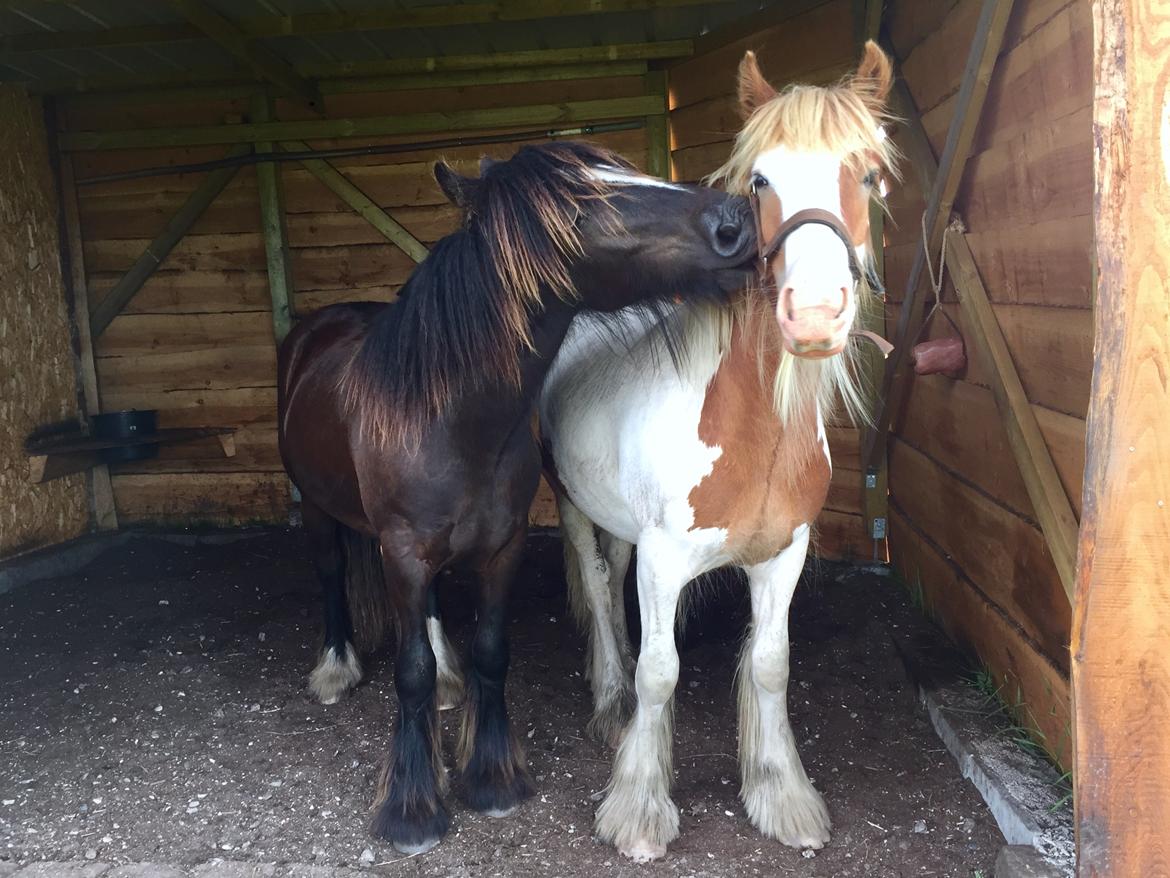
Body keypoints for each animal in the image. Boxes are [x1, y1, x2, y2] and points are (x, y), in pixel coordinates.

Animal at [274, 142, 753, 852]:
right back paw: (335, 670)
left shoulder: (503, 548)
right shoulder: (402, 552)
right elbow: (408, 673)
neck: (452, 421)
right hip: (317, 509)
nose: (736, 220)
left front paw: (492, 779)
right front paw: (412, 809)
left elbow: (491, 652)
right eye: (581, 206)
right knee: (333, 576)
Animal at [538, 44, 893, 861]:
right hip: (570, 504)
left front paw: (782, 796)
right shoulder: (667, 560)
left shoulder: (783, 555)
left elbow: (771, 664)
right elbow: (660, 672)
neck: (753, 436)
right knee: (597, 587)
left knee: (613, 572)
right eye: (760, 180)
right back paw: (608, 701)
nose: (815, 314)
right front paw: (638, 811)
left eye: (866, 174)